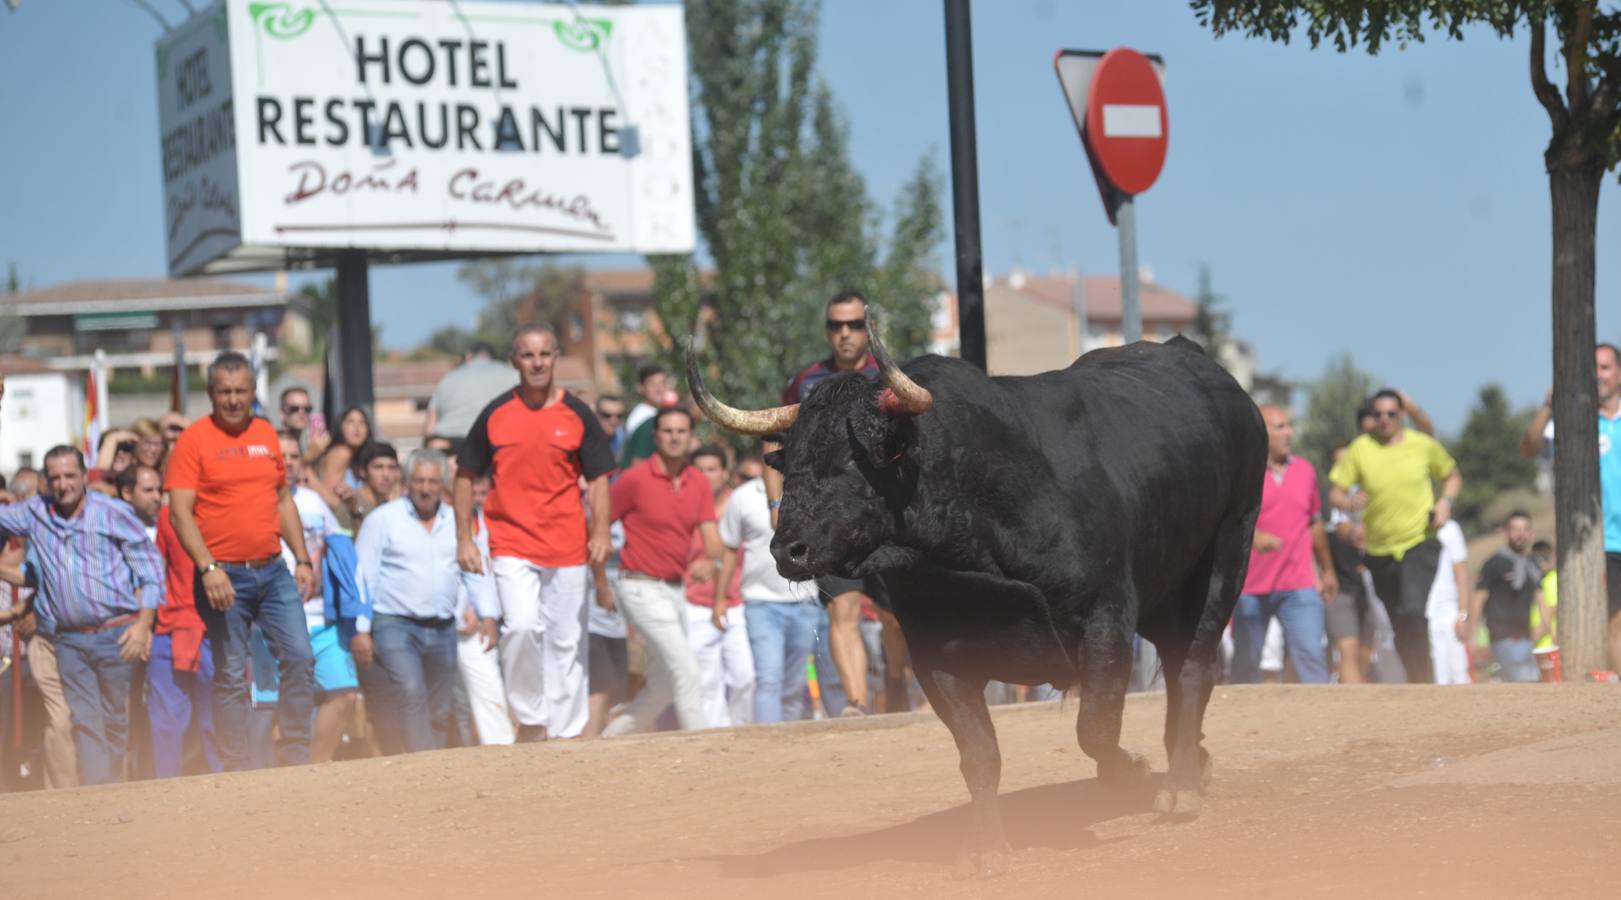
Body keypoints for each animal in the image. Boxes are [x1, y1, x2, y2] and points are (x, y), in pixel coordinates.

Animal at [687, 329, 1264, 875]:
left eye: (852, 460)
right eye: (789, 463)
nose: (787, 549)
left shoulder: (1106, 619)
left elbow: (1096, 728)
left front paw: (1134, 773)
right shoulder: (937, 657)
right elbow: (979, 754)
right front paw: (984, 849)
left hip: (1228, 550)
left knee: (1193, 668)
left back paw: (1181, 784)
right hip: (1167, 599)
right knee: (1178, 665)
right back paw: (1194, 761)